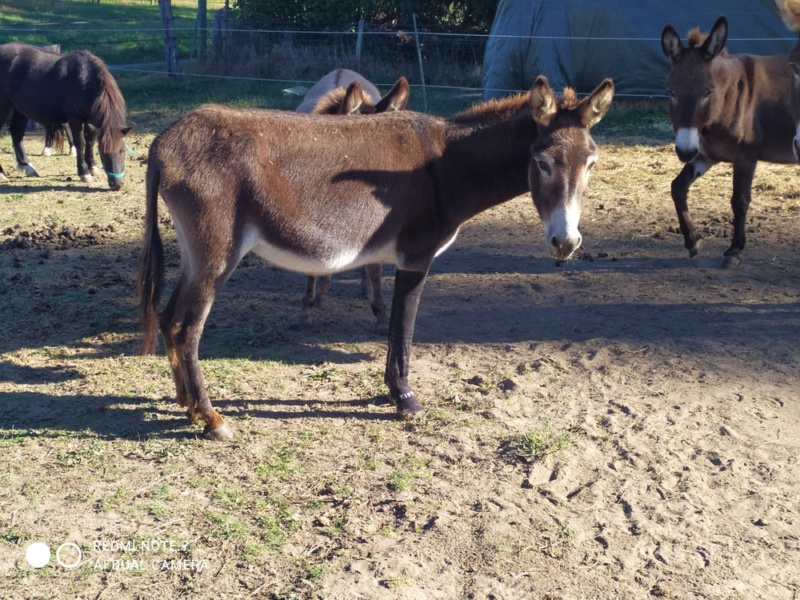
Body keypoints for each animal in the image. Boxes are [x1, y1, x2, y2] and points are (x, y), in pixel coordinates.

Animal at [0, 42, 130, 190]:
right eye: (103, 153)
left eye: (122, 151)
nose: (116, 185)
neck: (84, 80)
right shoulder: (75, 119)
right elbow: (80, 143)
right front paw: (84, 173)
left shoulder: (91, 120)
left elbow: (90, 141)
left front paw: (92, 167)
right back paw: (2, 173)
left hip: (19, 109)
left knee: (16, 133)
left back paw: (28, 167)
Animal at [660, 18, 796, 268]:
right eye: (670, 92)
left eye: (707, 92)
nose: (684, 152)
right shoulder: (706, 154)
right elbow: (678, 187)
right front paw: (692, 241)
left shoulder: (745, 157)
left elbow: (739, 200)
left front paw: (734, 251)